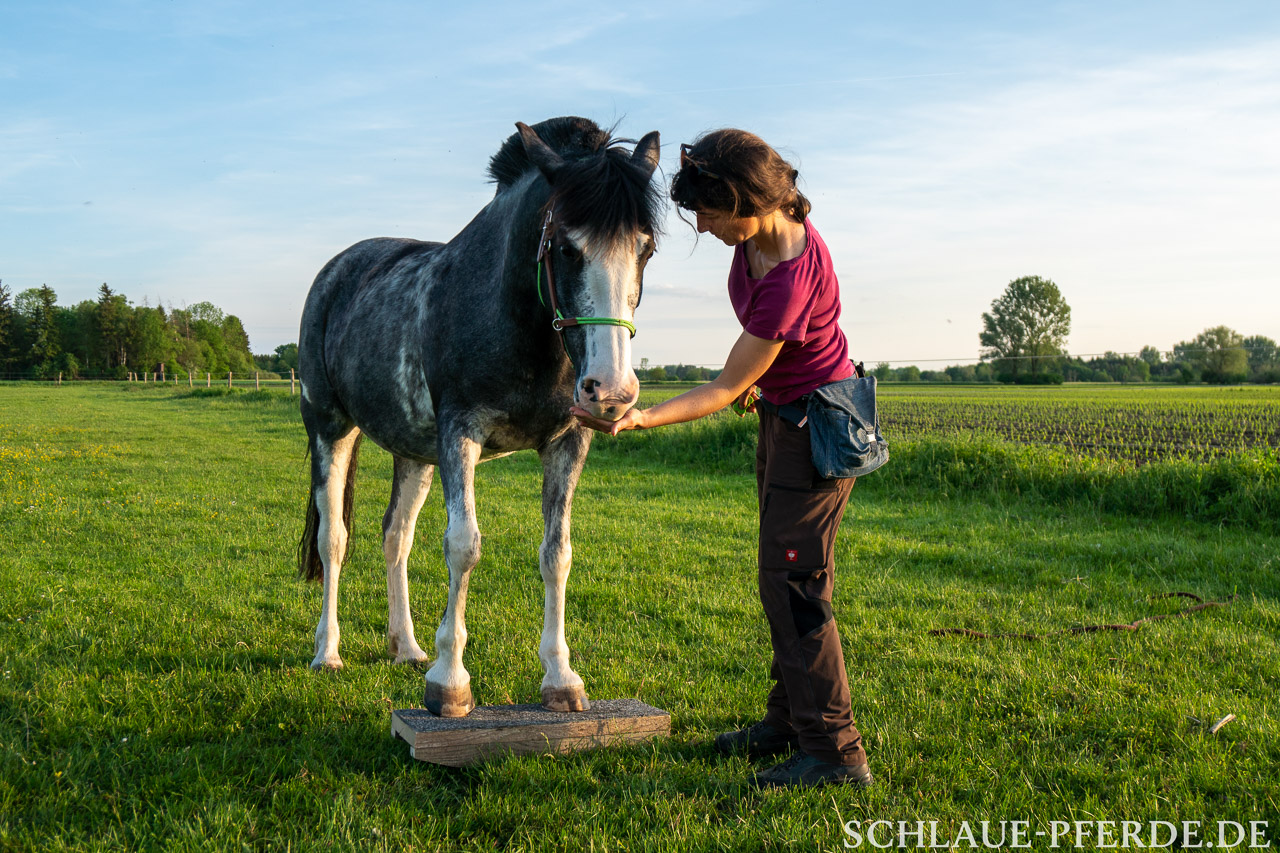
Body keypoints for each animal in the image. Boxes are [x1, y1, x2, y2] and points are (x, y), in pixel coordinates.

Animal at [296, 117, 662, 717]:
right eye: (566, 247)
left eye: (646, 248)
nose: (610, 390)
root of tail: (335, 272)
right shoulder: (459, 434)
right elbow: (463, 546)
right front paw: (450, 681)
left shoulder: (567, 443)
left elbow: (556, 553)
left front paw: (561, 678)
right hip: (331, 427)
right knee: (335, 538)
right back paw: (328, 652)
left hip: (414, 453)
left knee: (395, 536)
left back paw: (407, 647)